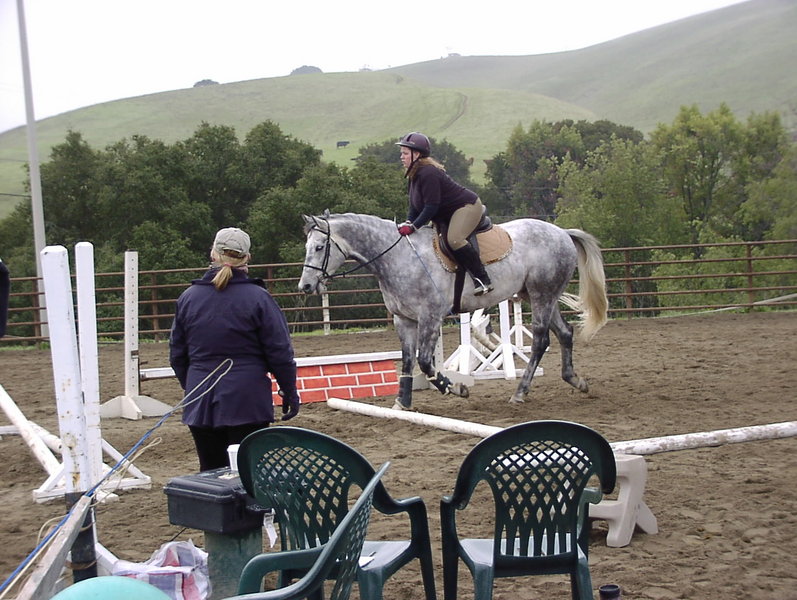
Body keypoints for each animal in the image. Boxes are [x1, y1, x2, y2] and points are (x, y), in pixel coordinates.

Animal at [298, 212, 608, 409]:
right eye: (307, 247)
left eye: (320, 246)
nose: (305, 286)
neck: (397, 257)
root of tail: (561, 232)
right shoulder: (404, 320)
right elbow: (407, 361)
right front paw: (402, 403)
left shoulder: (430, 317)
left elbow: (425, 361)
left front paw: (456, 388)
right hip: (539, 296)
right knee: (565, 333)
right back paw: (576, 381)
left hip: (542, 295)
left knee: (541, 340)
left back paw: (520, 393)